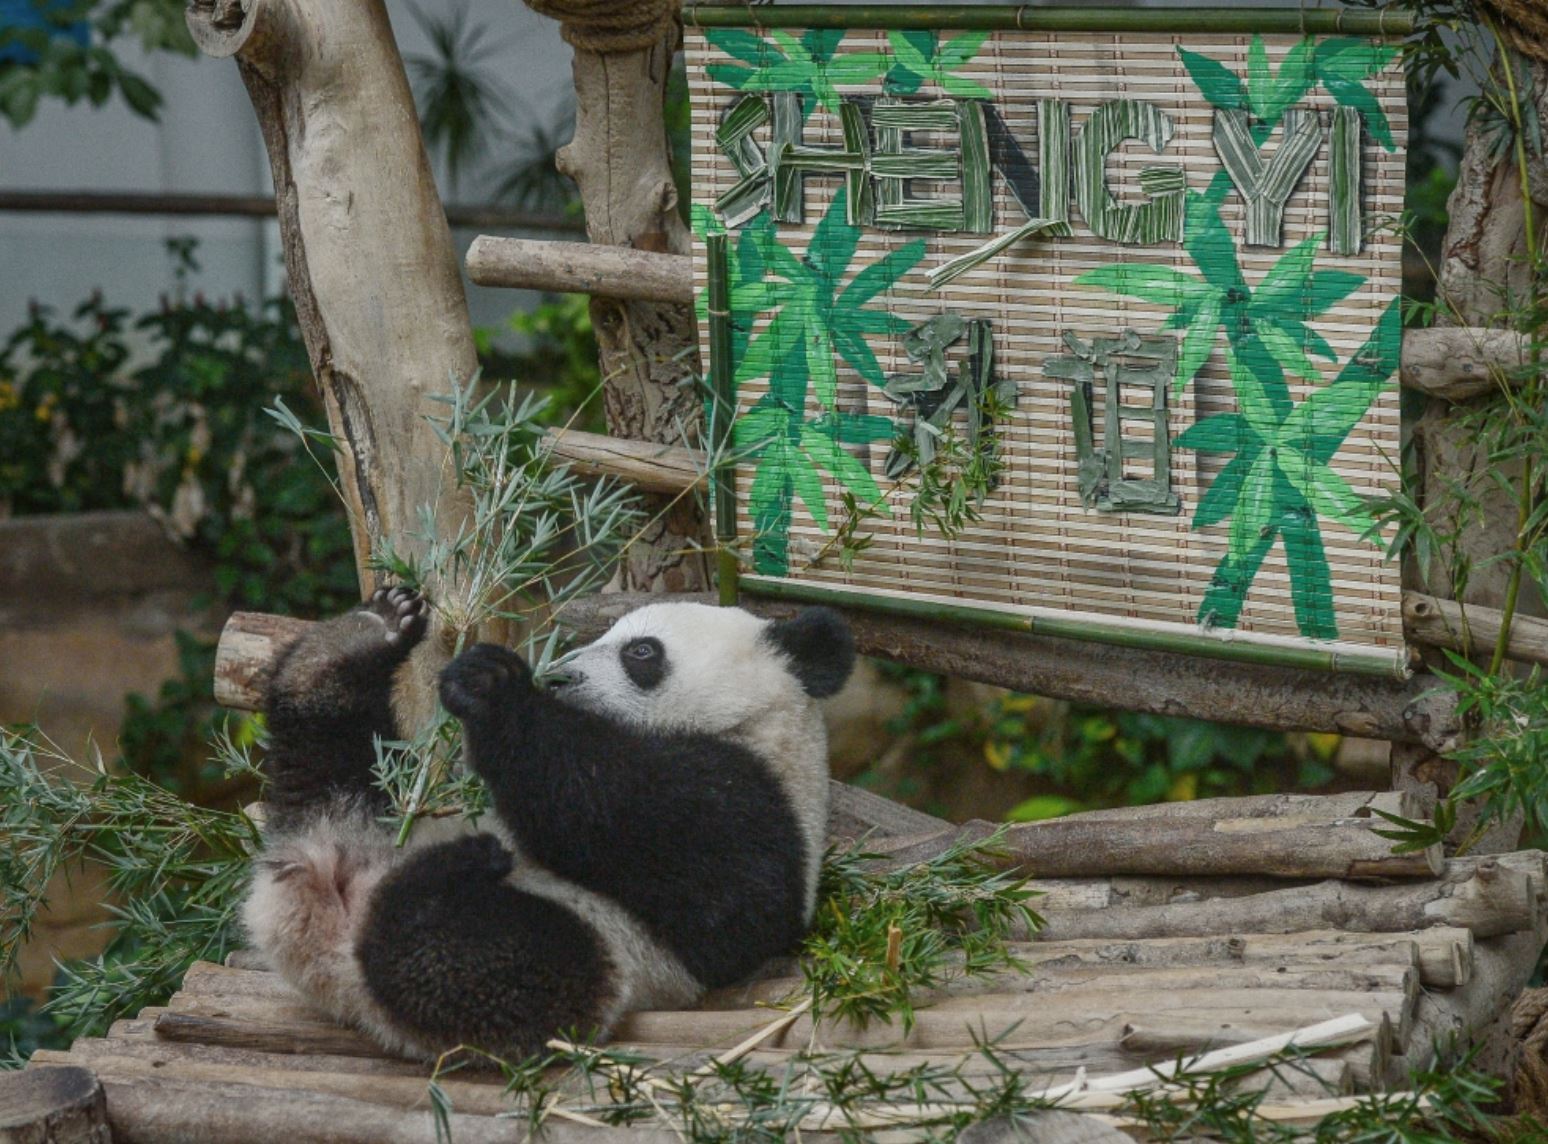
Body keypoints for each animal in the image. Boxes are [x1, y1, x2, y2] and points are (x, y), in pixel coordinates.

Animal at [244, 586, 854, 1059]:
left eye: (641, 651)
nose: (559, 678)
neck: (755, 726)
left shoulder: (759, 806)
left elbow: (631, 816)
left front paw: (494, 686)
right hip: (364, 801)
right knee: (329, 748)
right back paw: (361, 637)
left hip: (602, 949)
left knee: (485, 965)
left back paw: (434, 886)